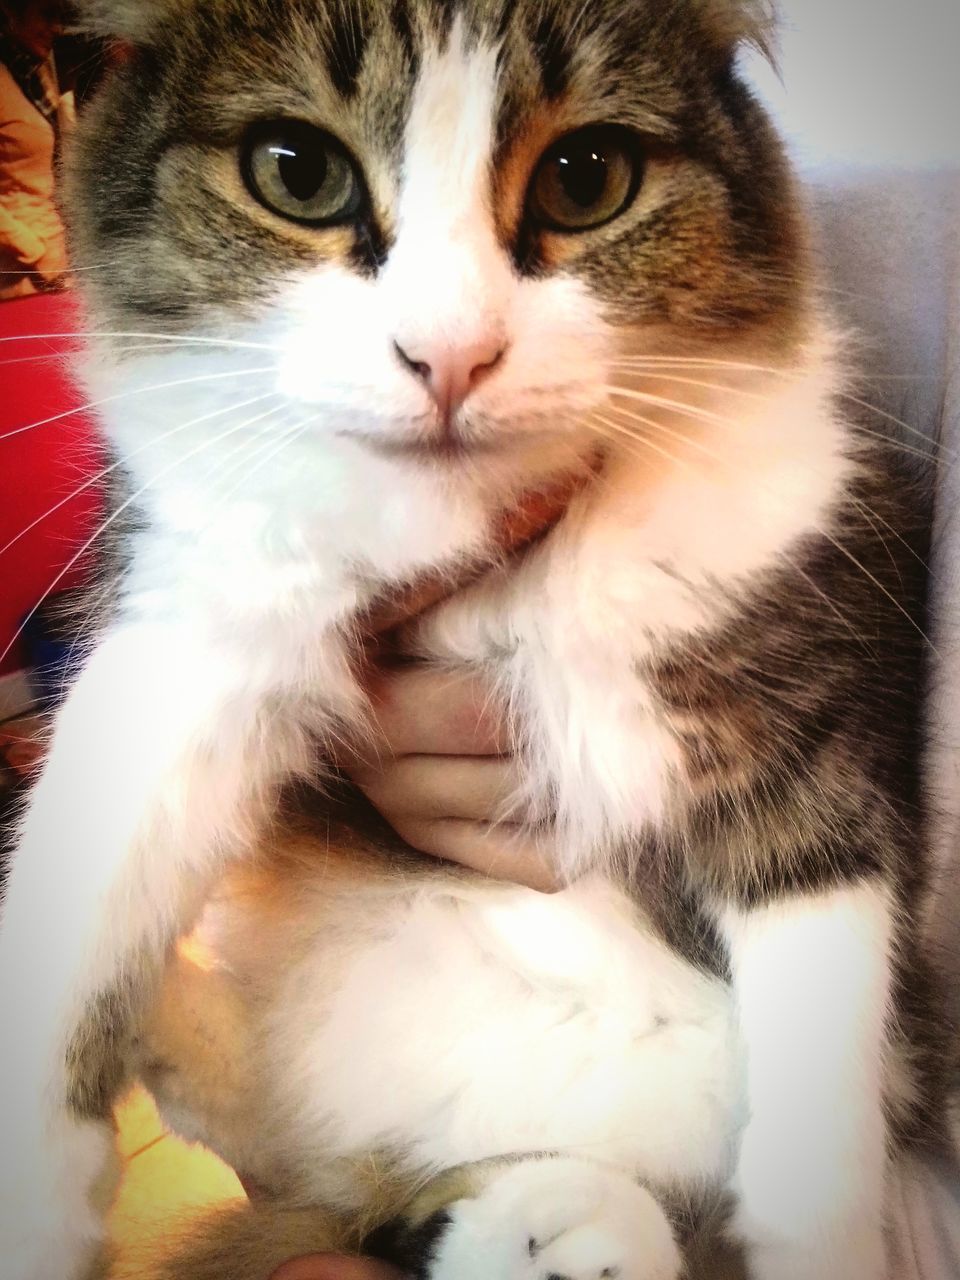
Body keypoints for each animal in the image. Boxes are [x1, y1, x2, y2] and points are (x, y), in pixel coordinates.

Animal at [0, 0, 947, 1274]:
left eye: (586, 178)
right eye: (298, 172)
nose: (449, 355)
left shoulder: (801, 736)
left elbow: (821, 1100)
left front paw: (822, 1248)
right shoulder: (202, 617)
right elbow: (73, 898)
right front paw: (34, 1189)